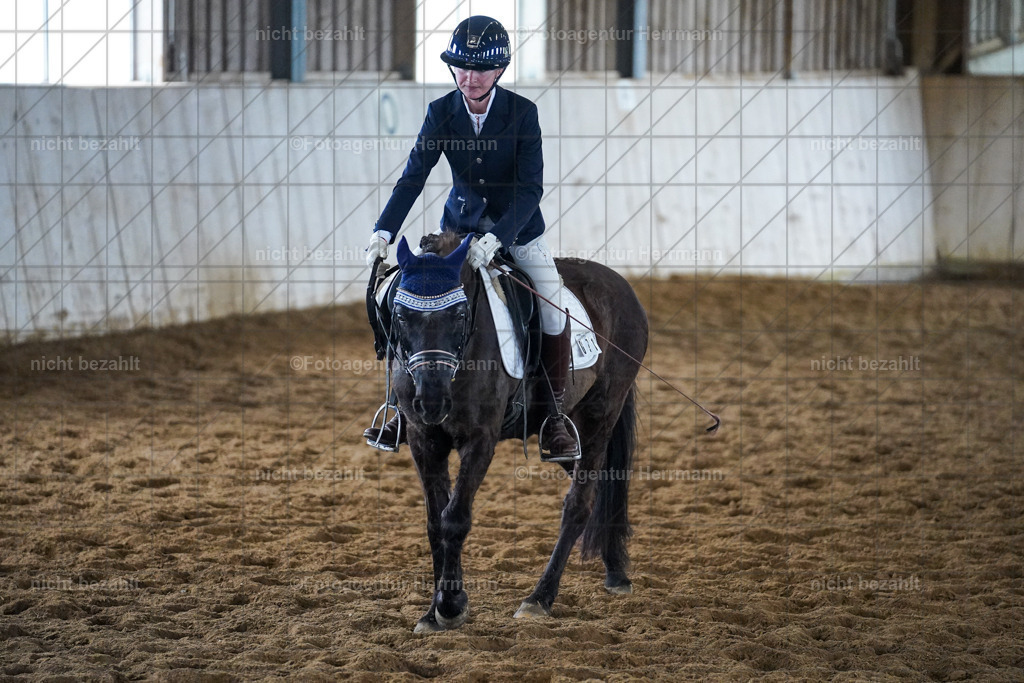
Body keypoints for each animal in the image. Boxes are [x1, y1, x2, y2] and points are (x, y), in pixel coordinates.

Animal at [380, 231, 648, 632]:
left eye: (459, 314)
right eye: (399, 314)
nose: (431, 400)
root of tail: (620, 283)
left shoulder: (480, 439)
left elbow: (454, 519)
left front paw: (450, 606)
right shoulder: (423, 439)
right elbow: (434, 523)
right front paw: (436, 610)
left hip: (600, 415)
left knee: (579, 503)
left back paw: (539, 599)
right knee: (600, 486)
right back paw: (615, 571)